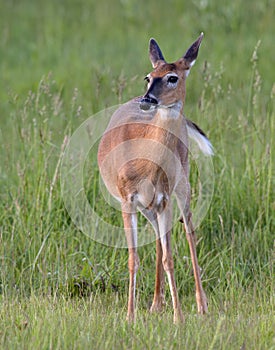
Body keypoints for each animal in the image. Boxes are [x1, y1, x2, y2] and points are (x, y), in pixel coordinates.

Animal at [97, 32, 213, 322]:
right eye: (148, 76)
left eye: (173, 77)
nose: (148, 99)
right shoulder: (128, 200)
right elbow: (134, 259)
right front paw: (130, 316)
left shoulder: (165, 199)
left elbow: (169, 257)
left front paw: (179, 317)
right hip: (148, 207)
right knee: (159, 240)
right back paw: (155, 303)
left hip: (182, 185)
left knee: (189, 231)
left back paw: (201, 305)